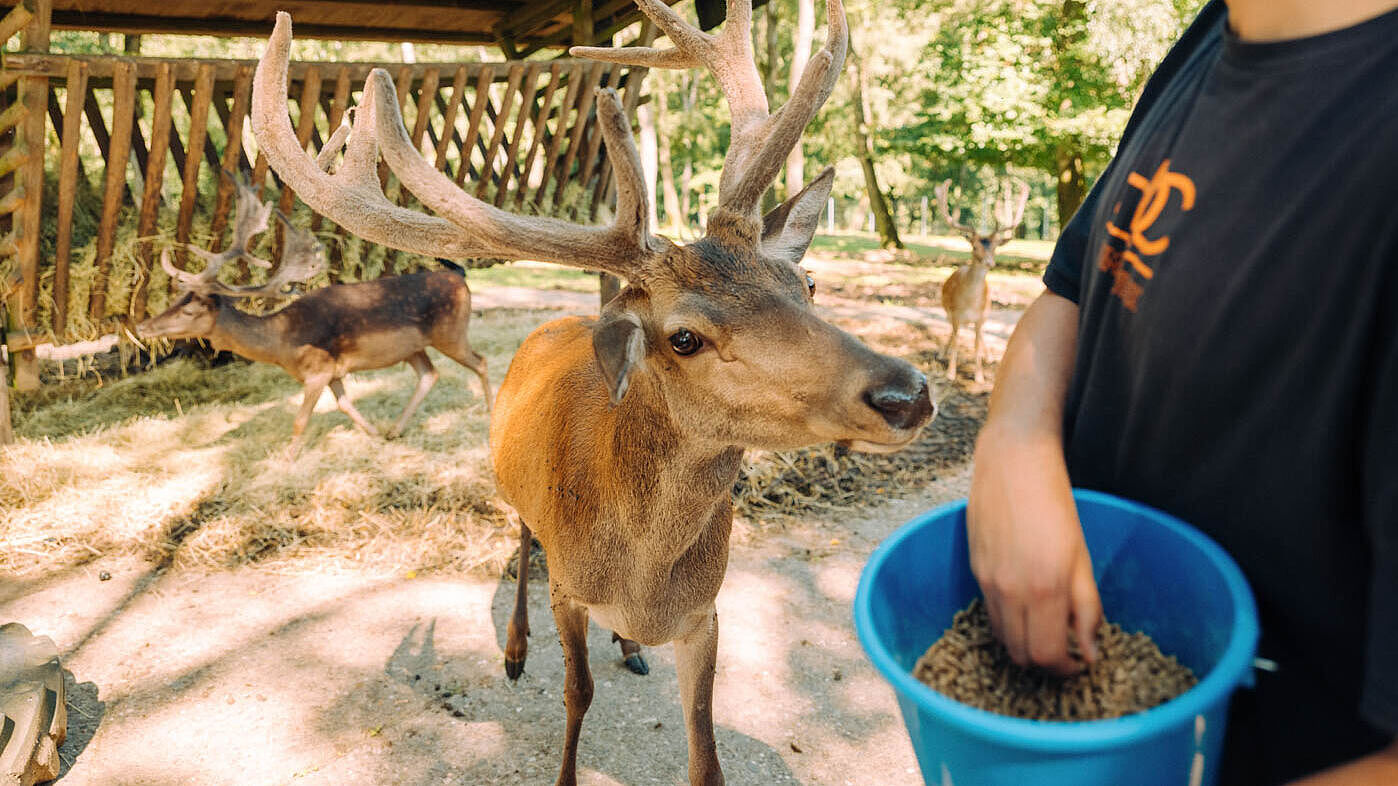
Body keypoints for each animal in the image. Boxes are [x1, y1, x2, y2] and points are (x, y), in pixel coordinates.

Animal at [136, 171, 494, 453]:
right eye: (176, 298)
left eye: (191, 309)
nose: (142, 327)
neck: (281, 346)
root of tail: (460, 276)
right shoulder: (333, 372)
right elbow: (345, 404)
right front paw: (375, 434)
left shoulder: (318, 370)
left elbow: (300, 420)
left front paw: (286, 460)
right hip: (414, 346)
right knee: (429, 374)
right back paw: (395, 429)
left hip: (451, 332)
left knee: (480, 361)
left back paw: (491, 414)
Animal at [254, 4, 928, 777]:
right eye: (684, 337)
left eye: (807, 284)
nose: (908, 392)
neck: (642, 581)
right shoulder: (569, 591)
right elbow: (576, 694)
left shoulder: (706, 614)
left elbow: (706, 748)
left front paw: (645, 665)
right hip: (507, 479)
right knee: (520, 538)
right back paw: (516, 649)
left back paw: (630, 647)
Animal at [939, 178, 1028, 386]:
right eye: (974, 246)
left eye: (995, 247)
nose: (989, 262)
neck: (970, 303)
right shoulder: (955, 315)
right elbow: (957, 342)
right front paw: (950, 373)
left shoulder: (980, 318)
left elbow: (976, 344)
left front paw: (979, 376)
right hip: (948, 312)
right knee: (952, 333)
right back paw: (942, 353)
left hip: (985, 314)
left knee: (979, 337)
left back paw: (989, 357)